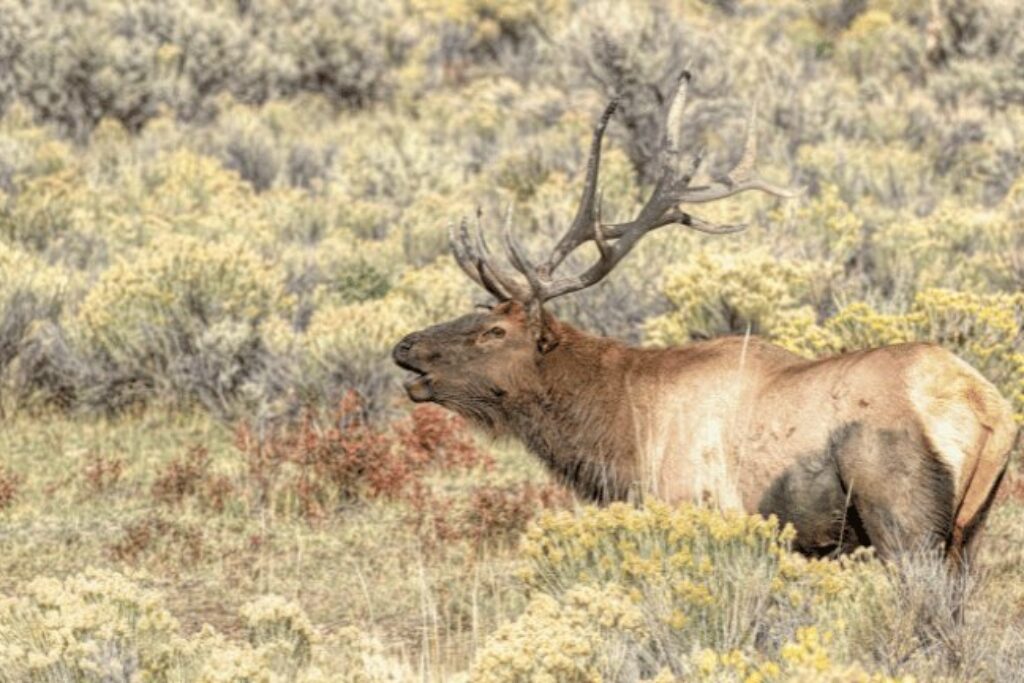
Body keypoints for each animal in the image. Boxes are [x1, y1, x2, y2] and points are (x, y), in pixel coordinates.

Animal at [391, 73, 1015, 565]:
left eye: (495, 331)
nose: (405, 345)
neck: (622, 431)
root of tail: (985, 408)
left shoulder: (699, 512)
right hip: (970, 530)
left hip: (902, 517)